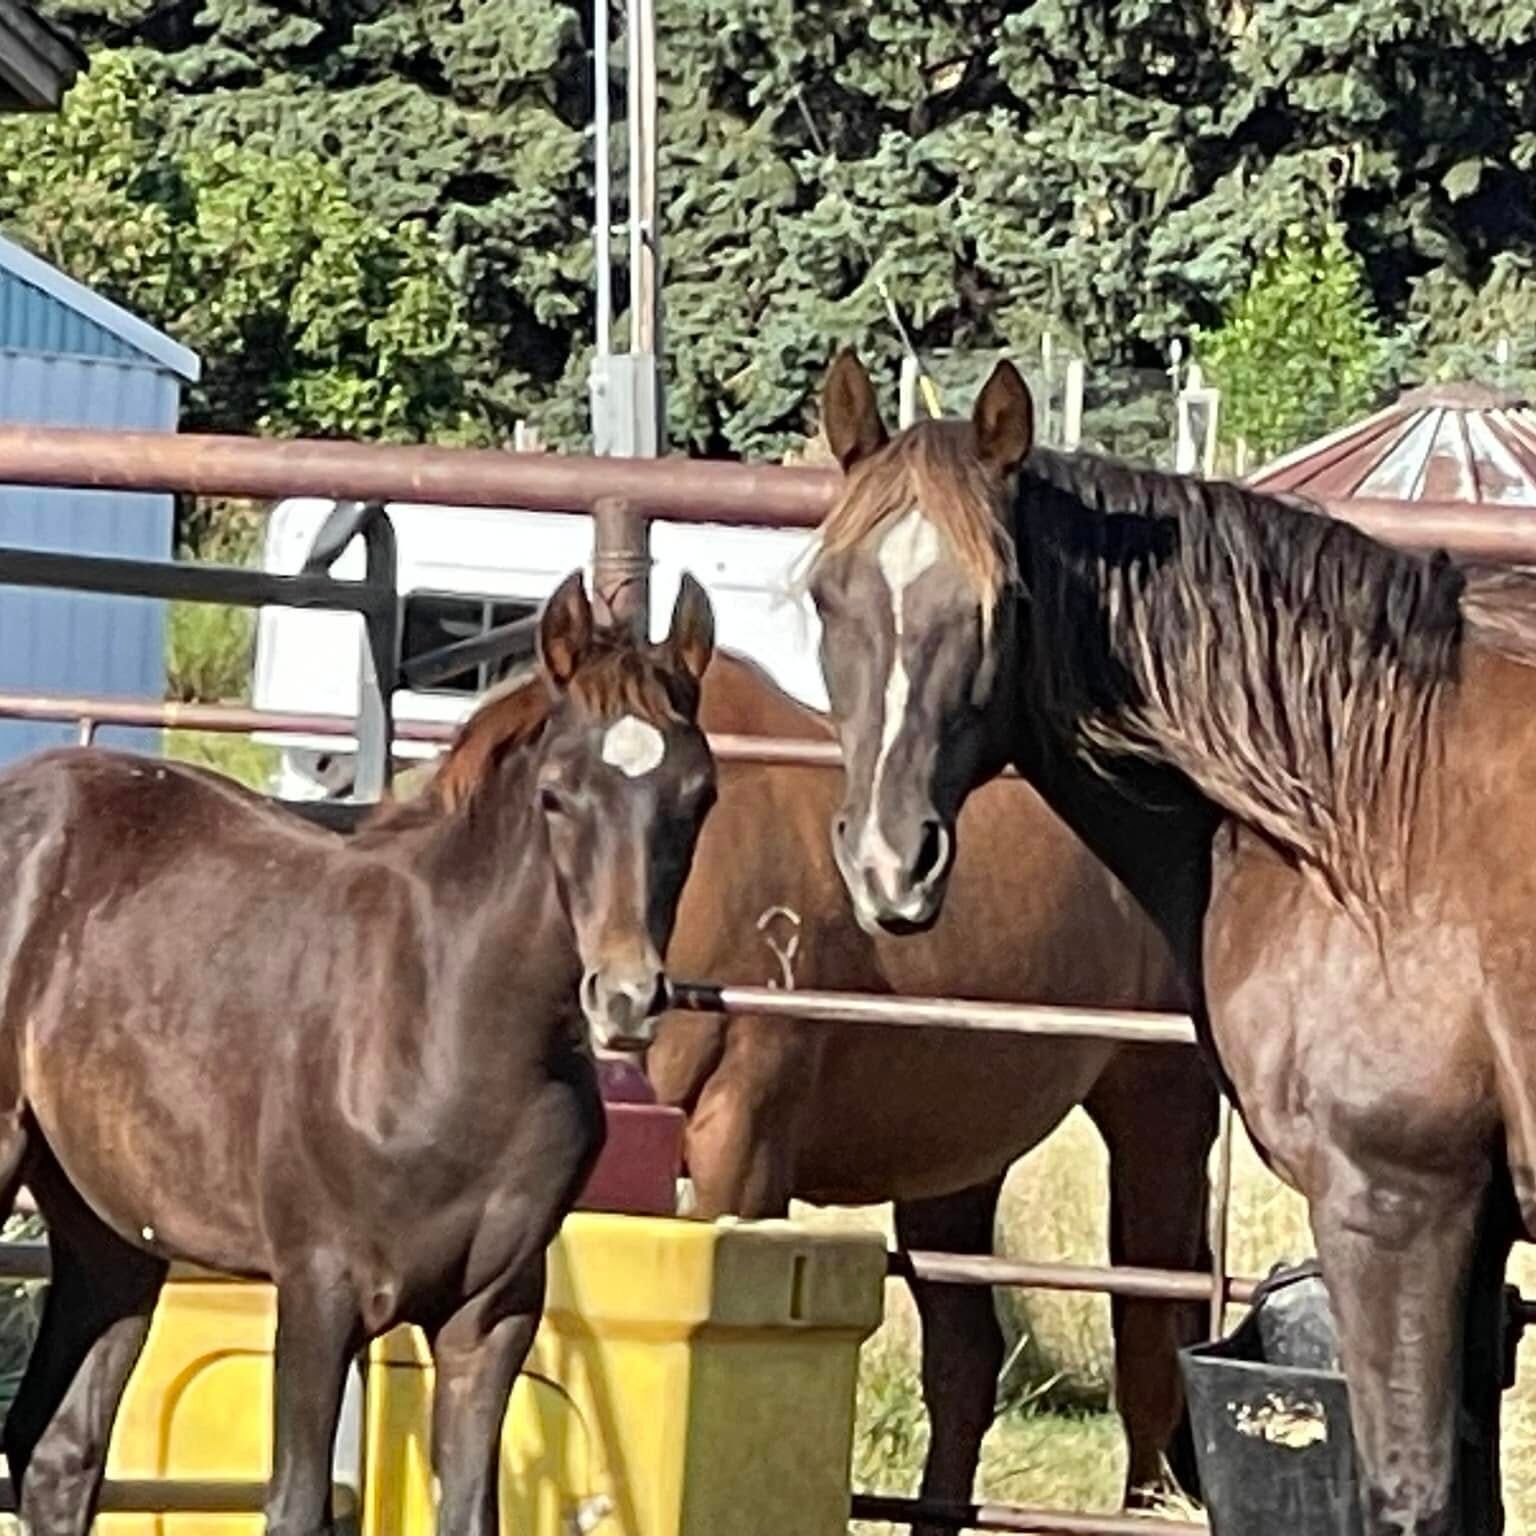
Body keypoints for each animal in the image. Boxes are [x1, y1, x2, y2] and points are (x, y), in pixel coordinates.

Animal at [0, 570, 716, 1536]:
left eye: (699, 795)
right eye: (557, 795)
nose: (627, 997)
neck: (444, 1029)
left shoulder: (492, 1316)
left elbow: (470, 1512)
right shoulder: (317, 1289)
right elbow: (297, 1504)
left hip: (107, 1226)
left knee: (56, 1454)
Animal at [805, 347, 1536, 1535]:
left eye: (1002, 602)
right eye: (828, 592)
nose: (889, 863)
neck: (1366, 806)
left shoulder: (1395, 1207)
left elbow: (1411, 1495)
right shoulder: (1470, 1231)